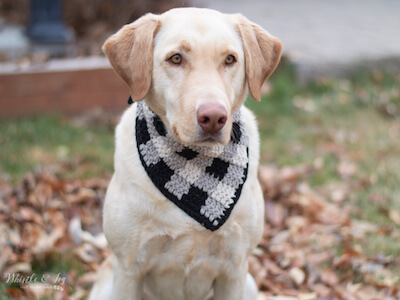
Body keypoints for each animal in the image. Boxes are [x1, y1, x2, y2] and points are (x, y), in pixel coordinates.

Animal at [89, 7, 282, 300]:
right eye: (176, 58)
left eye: (230, 59)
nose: (213, 117)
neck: (193, 165)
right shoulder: (128, 269)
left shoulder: (234, 270)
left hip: (248, 284)